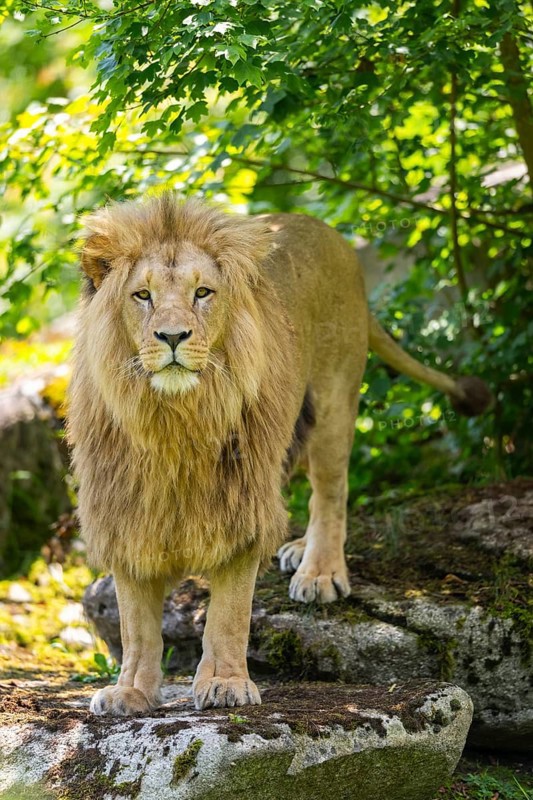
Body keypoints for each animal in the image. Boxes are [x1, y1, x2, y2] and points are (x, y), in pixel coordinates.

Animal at [67, 193, 491, 715]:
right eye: (142, 295)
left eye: (202, 293)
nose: (172, 337)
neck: (175, 419)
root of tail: (331, 235)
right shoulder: (126, 513)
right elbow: (136, 625)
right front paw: (130, 690)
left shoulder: (240, 502)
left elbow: (228, 613)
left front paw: (225, 683)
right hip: (293, 429)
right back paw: (296, 548)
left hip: (333, 404)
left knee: (331, 493)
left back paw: (319, 570)